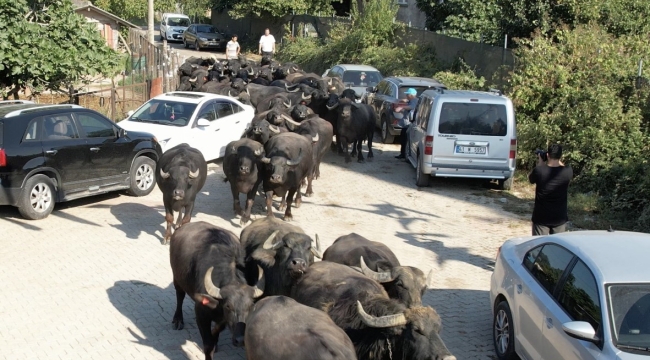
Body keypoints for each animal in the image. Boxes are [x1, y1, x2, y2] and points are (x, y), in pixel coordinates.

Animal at [171, 222, 268, 360]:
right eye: (228, 306)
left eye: (250, 306)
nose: (240, 340)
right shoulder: (201, 314)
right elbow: (208, 345)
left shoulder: (222, 320)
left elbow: (216, 331)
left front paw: (216, 341)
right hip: (177, 277)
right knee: (180, 295)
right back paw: (178, 320)